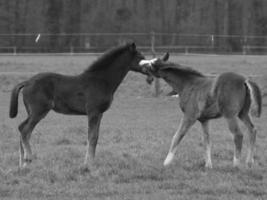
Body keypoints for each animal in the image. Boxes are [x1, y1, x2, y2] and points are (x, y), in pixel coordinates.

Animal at [8, 43, 149, 168]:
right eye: (140, 57)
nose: (150, 70)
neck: (101, 81)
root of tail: (27, 82)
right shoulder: (93, 112)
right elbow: (91, 137)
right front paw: (88, 164)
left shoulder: (100, 114)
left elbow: (96, 137)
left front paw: (91, 162)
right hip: (39, 111)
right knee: (25, 130)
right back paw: (28, 158)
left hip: (32, 112)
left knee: (22, 128)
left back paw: (23, 164)